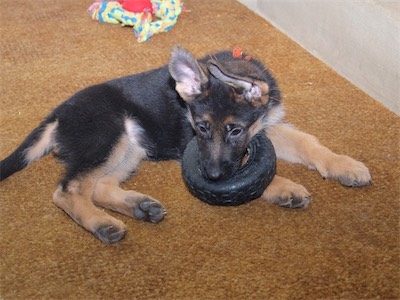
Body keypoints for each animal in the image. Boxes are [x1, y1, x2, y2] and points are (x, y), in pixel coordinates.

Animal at [0, 47, 372, 244]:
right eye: (201, 127)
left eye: (235, 130)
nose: (211, 177)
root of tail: (58, 115)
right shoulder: (192, 145)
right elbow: (255, 178)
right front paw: (283, 188)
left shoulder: (267, 127)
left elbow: (309, 143)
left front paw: (344, 165)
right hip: (109, 134)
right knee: (69, 189)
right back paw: (101, 223)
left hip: (133, 144)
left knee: (99, 186)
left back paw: (139, 207)